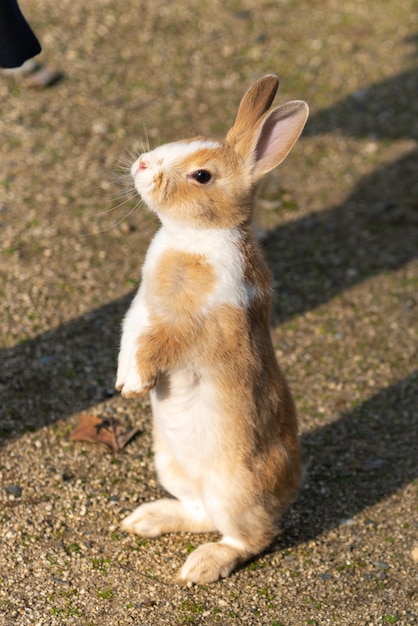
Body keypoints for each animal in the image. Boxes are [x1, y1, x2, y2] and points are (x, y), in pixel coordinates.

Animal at [116, 75, 308, 584]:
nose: (143, 163)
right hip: (172, 466)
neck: (196, 235)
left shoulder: (197, 324)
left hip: (234, 490)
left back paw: (200, 567)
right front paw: (122, 381)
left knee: (249, 538)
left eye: (201, 175)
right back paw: (146, 520)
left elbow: (158, 344)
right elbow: (129, 333)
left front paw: (134, 385)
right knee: (200, 513)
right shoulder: (139, 309)